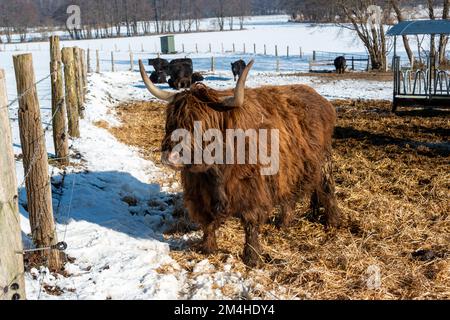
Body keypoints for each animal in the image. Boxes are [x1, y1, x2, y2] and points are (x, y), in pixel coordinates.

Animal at [137, 58, 342, 266]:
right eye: (171, 122)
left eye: (200, 125)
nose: (170, 156)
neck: (216, 171)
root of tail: (321, 100)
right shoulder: (200, 191)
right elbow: (207, 220)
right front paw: (208, 248)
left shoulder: (251, 188)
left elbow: (250, 222)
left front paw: (252, 257)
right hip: (291, 169)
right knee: (290, 196)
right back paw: (283, 223)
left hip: (323, 161)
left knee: (327, 189)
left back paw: (332, 222)